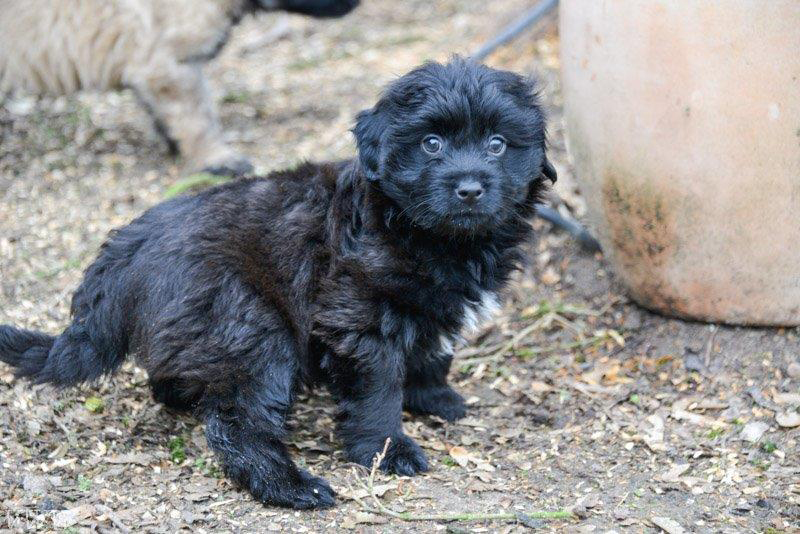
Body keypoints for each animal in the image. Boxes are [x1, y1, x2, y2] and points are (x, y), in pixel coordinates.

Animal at [0, 0, 358, 175]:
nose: (356, 4)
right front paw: (218, 158)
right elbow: (198, 117)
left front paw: (175, 144)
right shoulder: (169, 64)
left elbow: (163, 111)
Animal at [0, 58, 556, 509]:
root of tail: (125, 254)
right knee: (238, 424)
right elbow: (378, 390)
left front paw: (434, 397)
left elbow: (431, 352)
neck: (422, 231)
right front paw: (387, 449)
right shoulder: (359, 319)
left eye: (498, 144)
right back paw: (290, 487)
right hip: (250, 328)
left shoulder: (425, 308)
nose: (470, 189)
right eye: (431, 143)